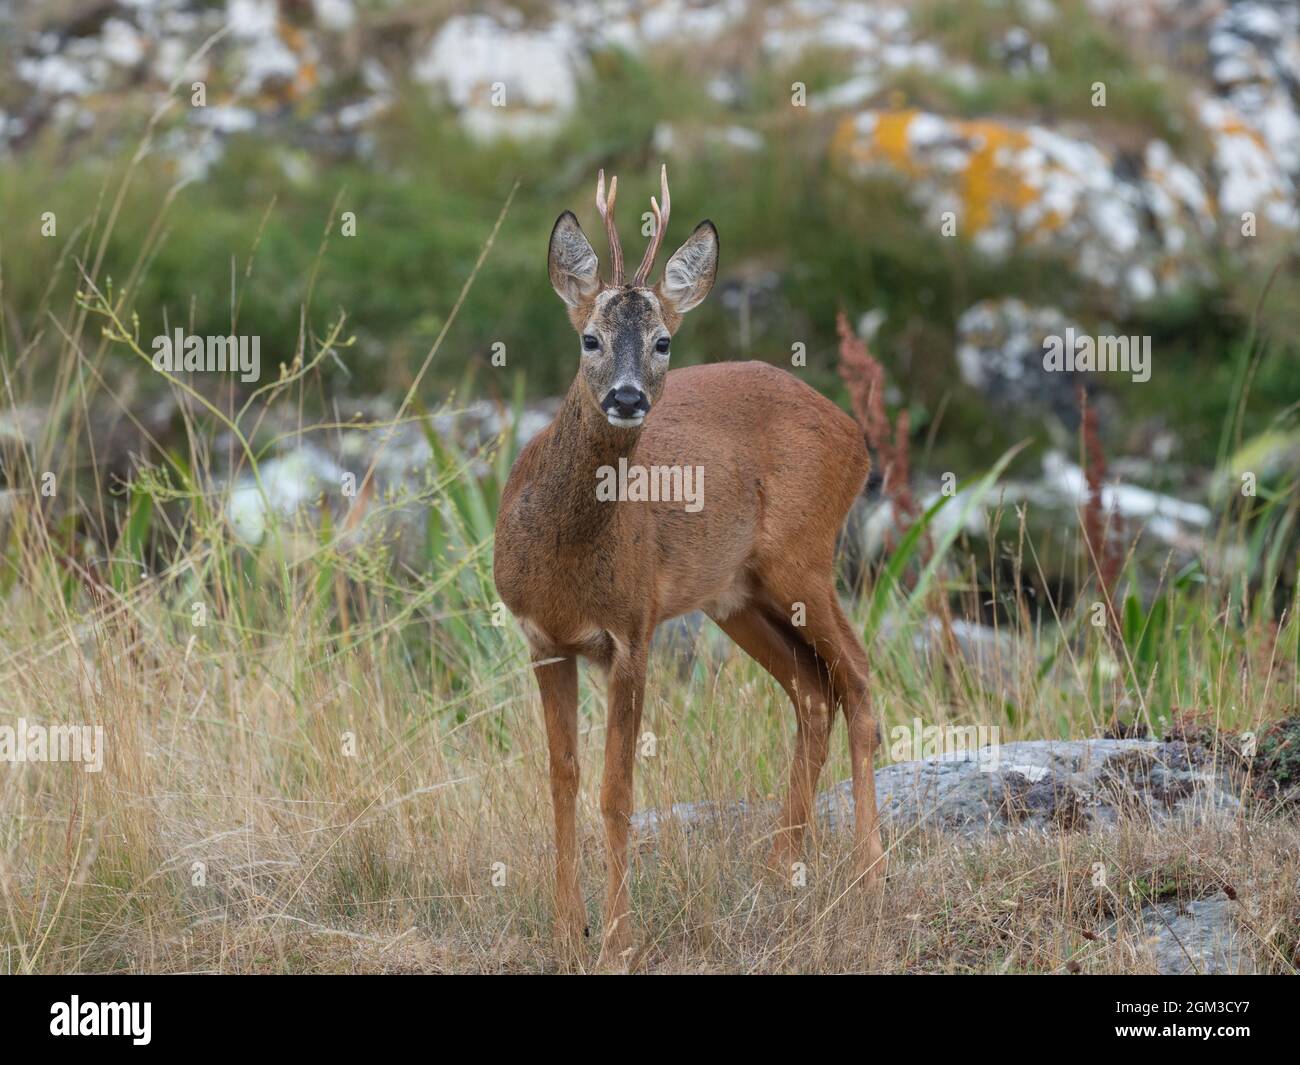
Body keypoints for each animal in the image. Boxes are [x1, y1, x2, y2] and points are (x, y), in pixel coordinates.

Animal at [493, 166, 885, 967]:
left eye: (664, 340)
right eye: (589, 336)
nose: (626, 396)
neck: (563, 562)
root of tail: (855, 435)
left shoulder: (633, 630)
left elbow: (616, 792)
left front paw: (618, 942)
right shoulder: (543, 638)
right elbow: (561, 778)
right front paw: (566, 931)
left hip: (804, 559)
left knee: (858, 679)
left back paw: (868, 878)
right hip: (735, 595)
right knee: (812, 691)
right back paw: (778, 870)